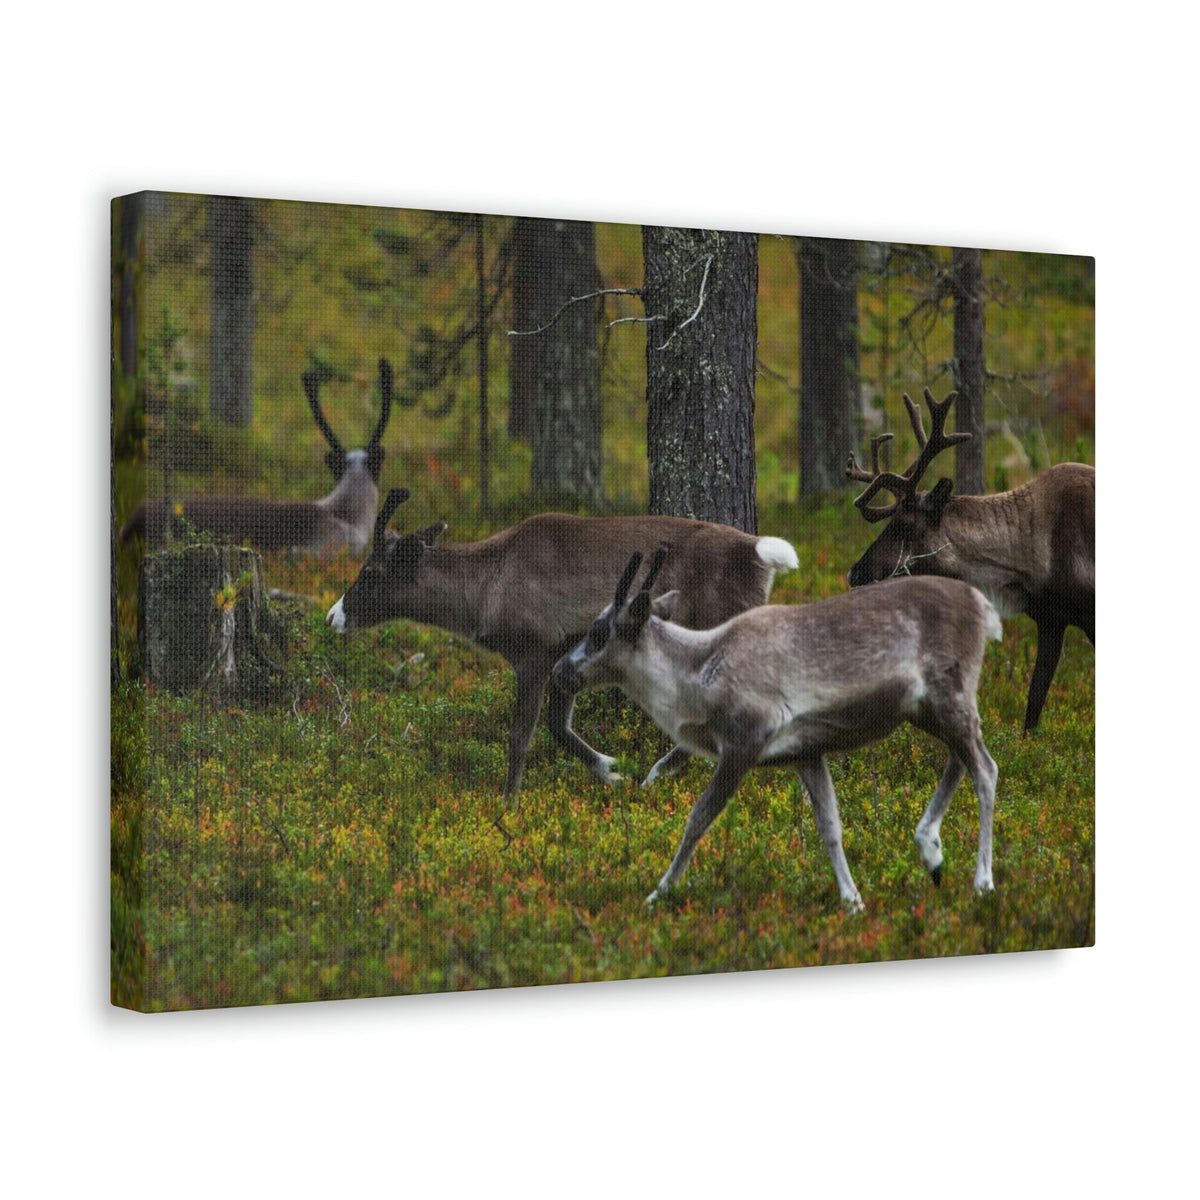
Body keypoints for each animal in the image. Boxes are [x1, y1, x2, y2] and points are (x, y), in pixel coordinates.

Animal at [325, 488, 799, 804]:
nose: (333, 617)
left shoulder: (534, 651)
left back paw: (660, 772)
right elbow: (557, 726)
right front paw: (609, 772)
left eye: (370, 573)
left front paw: (508, 803)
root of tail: (760, 551)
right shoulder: (561, 655)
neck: (484, 591)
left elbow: (522, 734)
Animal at [552, 549, 1002, 910]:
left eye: (597, 632)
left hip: (949, 693)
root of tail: (983, 605)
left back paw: (982, 881)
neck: (696, 678)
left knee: (986, 768)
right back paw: (931, 852)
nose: (560, 670)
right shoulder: (805, 752)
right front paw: (852, 900)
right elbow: (830, 826)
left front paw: (657, 894)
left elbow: (698, 818)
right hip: (926, 707)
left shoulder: (744, 741)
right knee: (961, 758)